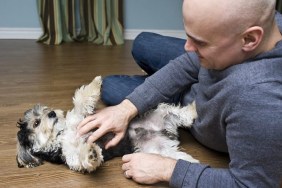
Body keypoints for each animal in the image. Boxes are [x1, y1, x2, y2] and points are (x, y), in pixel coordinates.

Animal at [15, 75, 198, 173]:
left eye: (46, 110)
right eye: (36, 123)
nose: (52, 113)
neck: (62, 134)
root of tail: (166, 132)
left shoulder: (82, 118)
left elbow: (81, 100)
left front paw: (95, 83)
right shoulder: (71, 157)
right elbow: (81, 157)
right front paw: (91, 153)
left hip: (159, 113)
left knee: (178, 113)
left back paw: (193, 109)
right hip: (158, 149)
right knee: (176, 154)